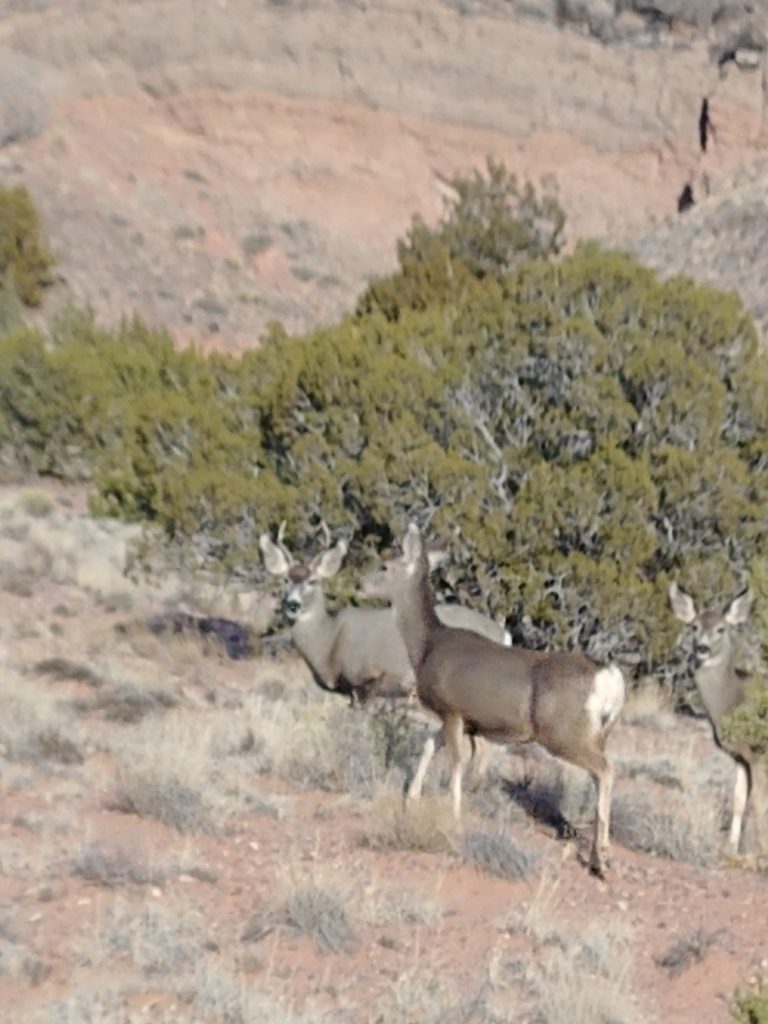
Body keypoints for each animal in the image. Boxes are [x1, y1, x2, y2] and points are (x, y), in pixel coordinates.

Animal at [360, 524, 626, 876]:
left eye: (386, 565)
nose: (359, 583)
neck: (427, 646)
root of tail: (609, 676)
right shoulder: (463, 719)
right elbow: (430, 745)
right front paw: (412, 797)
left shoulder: (452, 708)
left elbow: (456, 762)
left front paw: (454, 814)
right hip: (600, 733)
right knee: (601, 773)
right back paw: (600, 855)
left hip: (564, 732)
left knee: (605, 770)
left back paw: (601, 860)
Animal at [671, 585, 765, 856]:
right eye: (694, 627)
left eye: (721, 629)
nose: (702, 648)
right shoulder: (740, 756)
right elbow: (739, 800)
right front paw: (731, 848)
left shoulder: (759, 752)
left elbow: (759, 804)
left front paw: (758, 853)